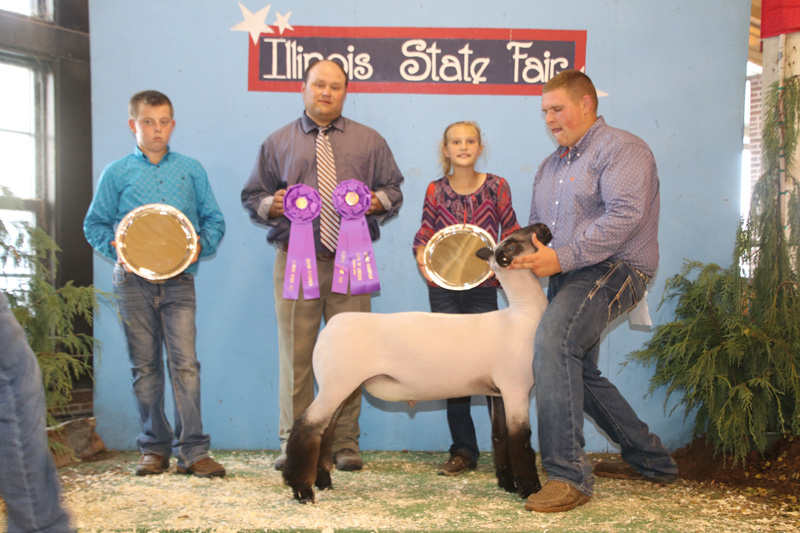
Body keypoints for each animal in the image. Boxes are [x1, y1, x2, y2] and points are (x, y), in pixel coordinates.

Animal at [284, 221, 552, 502]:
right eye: (510, 246)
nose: (543, 226)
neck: (522, 315)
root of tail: (331, 325)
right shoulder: (516, 387)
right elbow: (521, 439)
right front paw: (529, 488)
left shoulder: (498, 392)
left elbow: (501, 437)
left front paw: (508, 483)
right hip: (335, 384)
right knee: (305, 427)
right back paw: (302, 489)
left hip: (340, 386)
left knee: (324, 432)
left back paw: (323, 482)